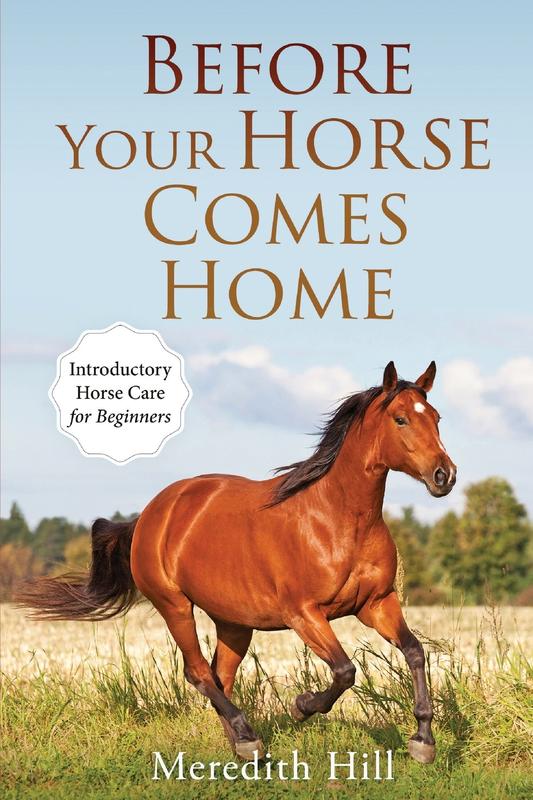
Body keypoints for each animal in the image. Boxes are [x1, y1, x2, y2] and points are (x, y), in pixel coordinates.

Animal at [16, 360, 456, 764]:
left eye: (436, 418)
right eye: (401, 419)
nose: (445, 476)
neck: (339, 520)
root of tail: (150, 515)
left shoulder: (376, 604)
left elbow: (415, 651)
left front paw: (423, 740)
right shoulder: (304, 614)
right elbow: (345, 671)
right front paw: (302, 706)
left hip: (234, 623)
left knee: (220, 676)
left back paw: (244, 747)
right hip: (174, 606)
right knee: (198, 672)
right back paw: (248, 737)